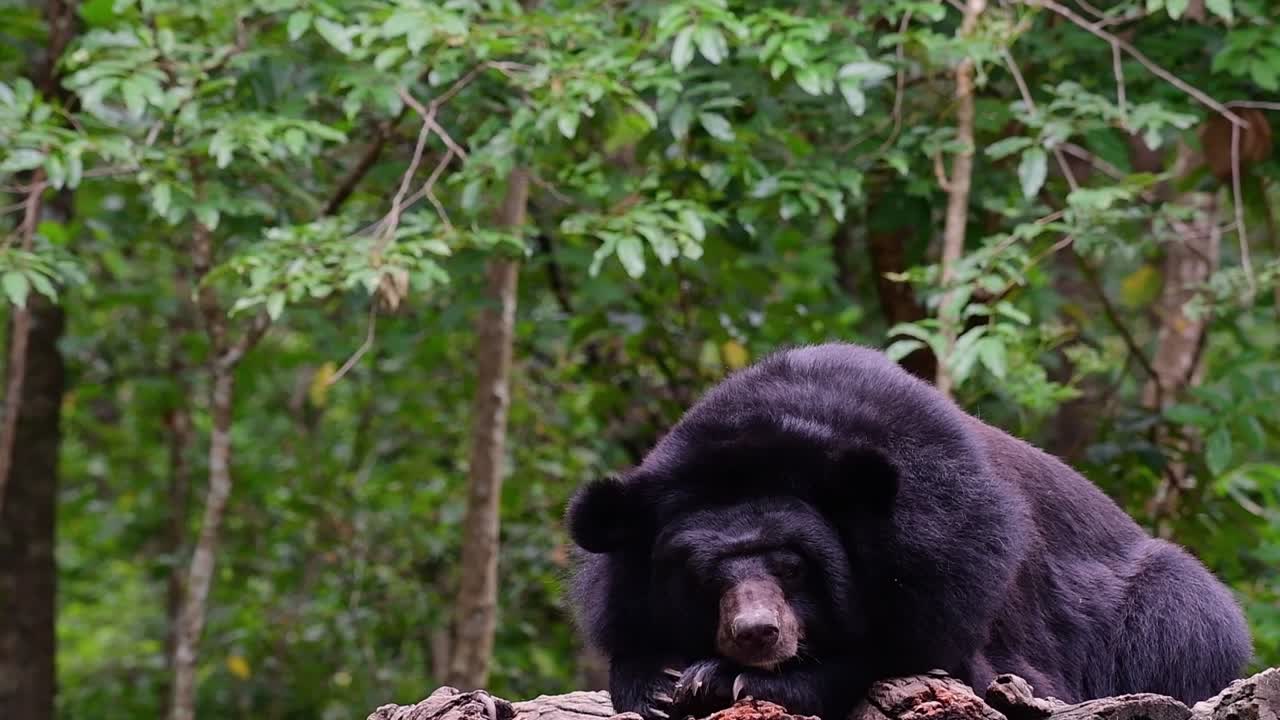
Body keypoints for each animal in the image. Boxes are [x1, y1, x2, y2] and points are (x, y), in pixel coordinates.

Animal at [564, 342, 1252, 720]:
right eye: (702, 576)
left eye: (793, 567)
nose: (757, 634)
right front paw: (659, 683)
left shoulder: (953, 553)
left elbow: (926, 658)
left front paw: (729, 679)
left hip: (1170, 613)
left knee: (1184, 621)